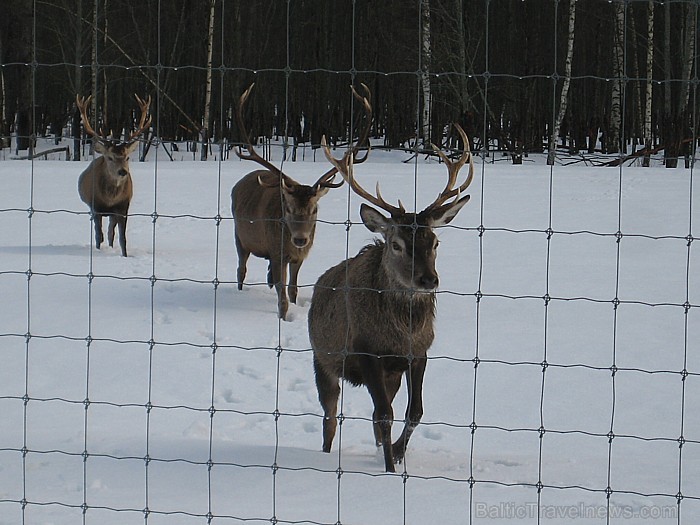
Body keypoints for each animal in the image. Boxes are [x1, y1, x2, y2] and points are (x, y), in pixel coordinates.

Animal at [76, 95, 152, 258]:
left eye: (127, 157)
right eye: (110, 157)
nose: (122, 171)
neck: (109, 200)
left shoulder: (123, 207)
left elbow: (122, 237)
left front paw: (125, 255)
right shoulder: (96, 207)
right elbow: (98, 235)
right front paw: (98, 251)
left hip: (113, 214)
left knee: (111, 232)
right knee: (103, 232)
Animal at [231, 83, 374, 320]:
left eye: (314, 209)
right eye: (288, 208)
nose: (300, 239)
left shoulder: (299, 256)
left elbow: (293, 289)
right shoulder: (277, 252)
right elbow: (282, 293)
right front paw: (283, 316)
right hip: (240, 237)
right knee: (241, 269)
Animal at [308, 122, 474, 470]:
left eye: (434, 242)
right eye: (397, 244)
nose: (428, 279)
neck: (402, 333)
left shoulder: (418, 354)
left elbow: (414, 412)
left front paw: (396, 453)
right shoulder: (367, 351)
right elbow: (385, 415)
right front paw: (388, 468)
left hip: (390, 375)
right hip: (322, 358)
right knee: (330, 416)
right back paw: (326, 454)